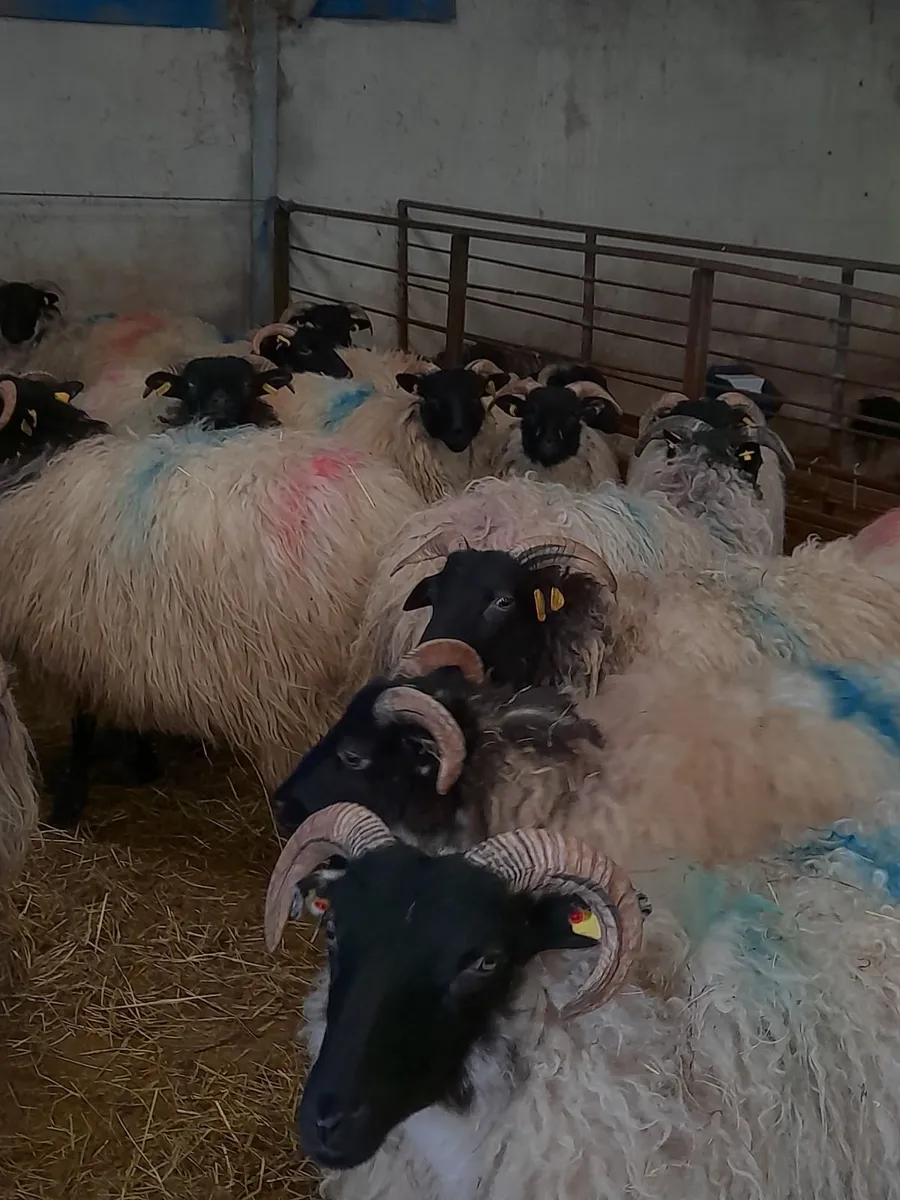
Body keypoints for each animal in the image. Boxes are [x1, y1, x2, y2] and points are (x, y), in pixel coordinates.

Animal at [0, 375, 419, 824]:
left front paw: (71, 800)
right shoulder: (123, 641)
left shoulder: (78, 639)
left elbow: (83, 724)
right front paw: (142, 762)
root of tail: (386, 515)